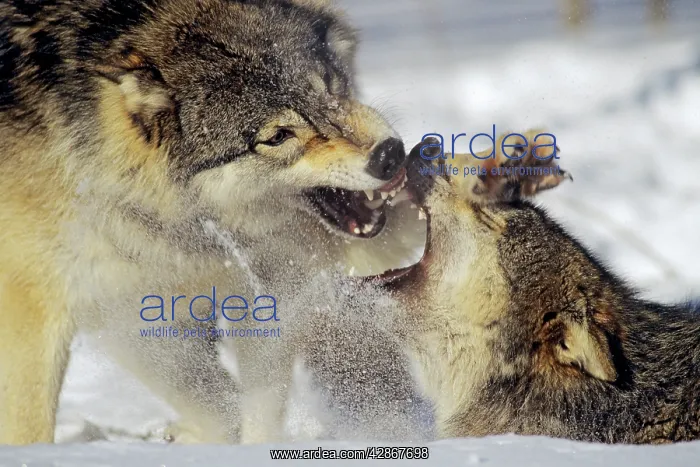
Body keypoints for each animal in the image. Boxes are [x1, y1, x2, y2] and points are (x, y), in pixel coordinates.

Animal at [0, 0, 424, 445]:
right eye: (278, 136)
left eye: (329, 86)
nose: (390, 155)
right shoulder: (60, 303)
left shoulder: (261, 284)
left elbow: (248, 406)